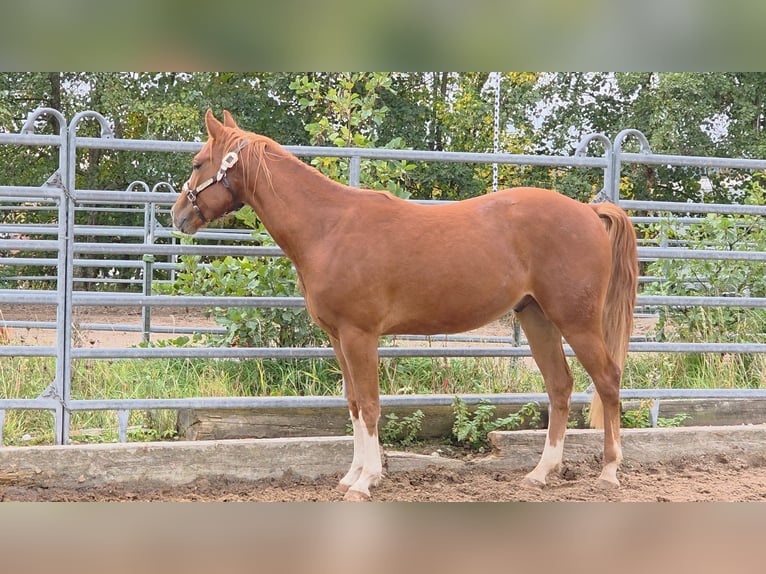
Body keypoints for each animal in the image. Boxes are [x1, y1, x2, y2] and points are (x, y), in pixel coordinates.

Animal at [171, 110, 638, 501]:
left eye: (197, 163)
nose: (178, 216)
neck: (328, 228)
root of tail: (589, 212)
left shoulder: (360, 336)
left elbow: (371, 404)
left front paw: (365, 482)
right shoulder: (339, 338)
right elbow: (353, 403)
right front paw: (352, 475)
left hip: (577, 321)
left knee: (608, 380)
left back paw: (609, 473)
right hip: (537, 317)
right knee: (560, 386)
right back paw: (541, 474)